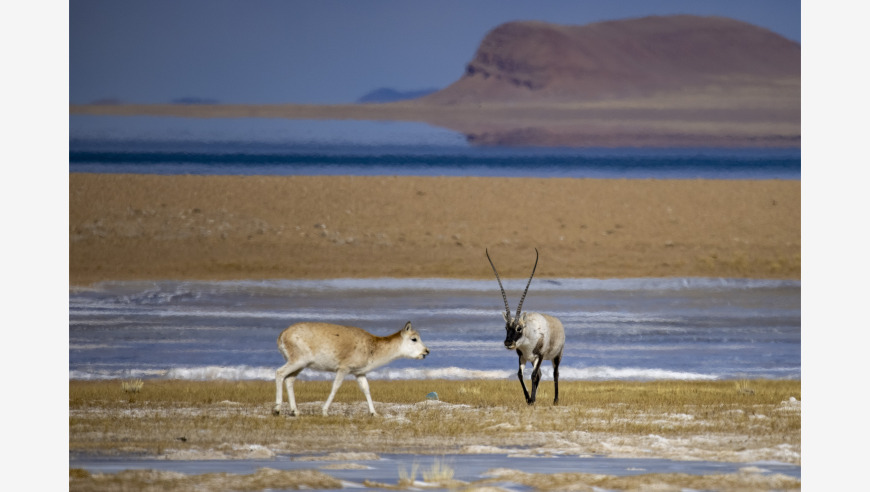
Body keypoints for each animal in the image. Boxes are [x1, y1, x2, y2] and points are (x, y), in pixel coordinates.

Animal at [272, 320, 430, 418]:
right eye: (414, 339)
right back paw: (277, 410)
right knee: (279, 373)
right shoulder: (343, 369)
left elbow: (366, 389)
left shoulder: (360, 373)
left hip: (300, 365)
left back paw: (295, 411)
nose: (426, 352)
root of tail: (283, 334)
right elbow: (335, 387)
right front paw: (324, 411)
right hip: (297, 362)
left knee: (289, 379)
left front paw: (374, 413)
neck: (372, 346)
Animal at [488, 248, 568, 406]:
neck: (530, 334)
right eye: (506, 328)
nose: (508, 343)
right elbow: (520, 375)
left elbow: (533, 375)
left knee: (555, 373)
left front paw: (531, 399)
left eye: (519, 328)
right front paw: (529, 399)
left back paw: (555, 400)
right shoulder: (523, 357)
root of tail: (558, 323)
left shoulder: (540, 356)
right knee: (540, 374)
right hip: (532, 360)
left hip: (557, 355)